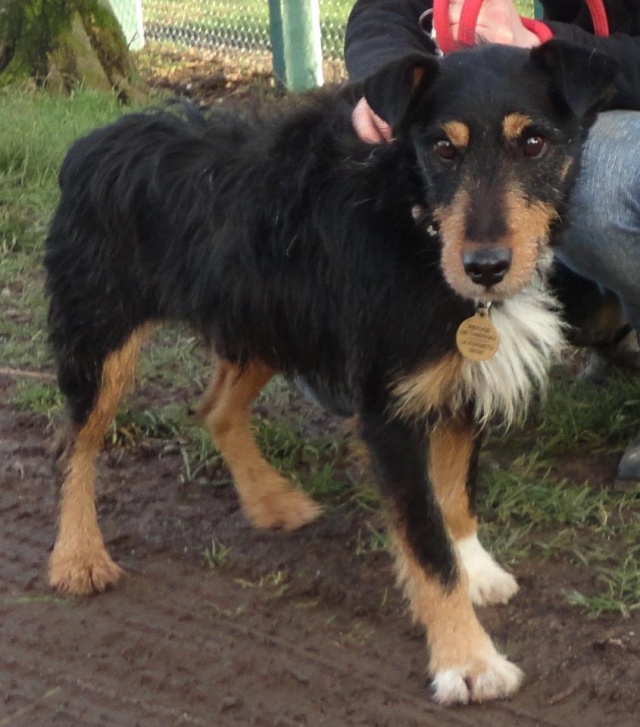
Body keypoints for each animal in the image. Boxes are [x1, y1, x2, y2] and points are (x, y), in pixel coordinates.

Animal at [43, 41, 616, 704]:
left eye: (534, 143)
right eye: (443, 149)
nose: (486, 267)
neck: (415, 224)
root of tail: (94, 140)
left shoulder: (459, 382)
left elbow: (455, 497)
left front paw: (475, 568)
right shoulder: (389, 412)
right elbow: (426, 541)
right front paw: (466, 658)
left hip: (266, 325)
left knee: (214, 409)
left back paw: (270, 500)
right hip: (101, 339)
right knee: (77, 445)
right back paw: (77, 556)